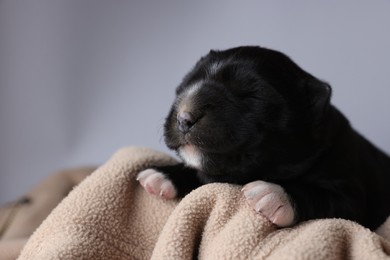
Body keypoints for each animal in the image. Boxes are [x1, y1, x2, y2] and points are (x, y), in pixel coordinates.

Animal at [136, 46, 390, 230]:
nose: (184, 118)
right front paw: (162, 175)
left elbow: (320, 197)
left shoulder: (349, 195)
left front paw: (274, 195)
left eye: (252, 96)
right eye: (182, 87)